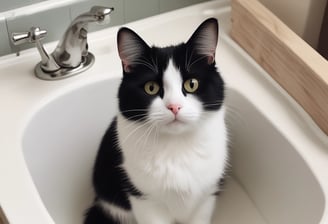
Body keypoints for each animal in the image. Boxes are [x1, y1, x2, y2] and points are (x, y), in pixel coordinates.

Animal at [84, 18, 228, 224]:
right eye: (151, 88)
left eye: (191, 84)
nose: (174, 106)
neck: (177, 148)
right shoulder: (144, 199)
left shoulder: (206, 195)